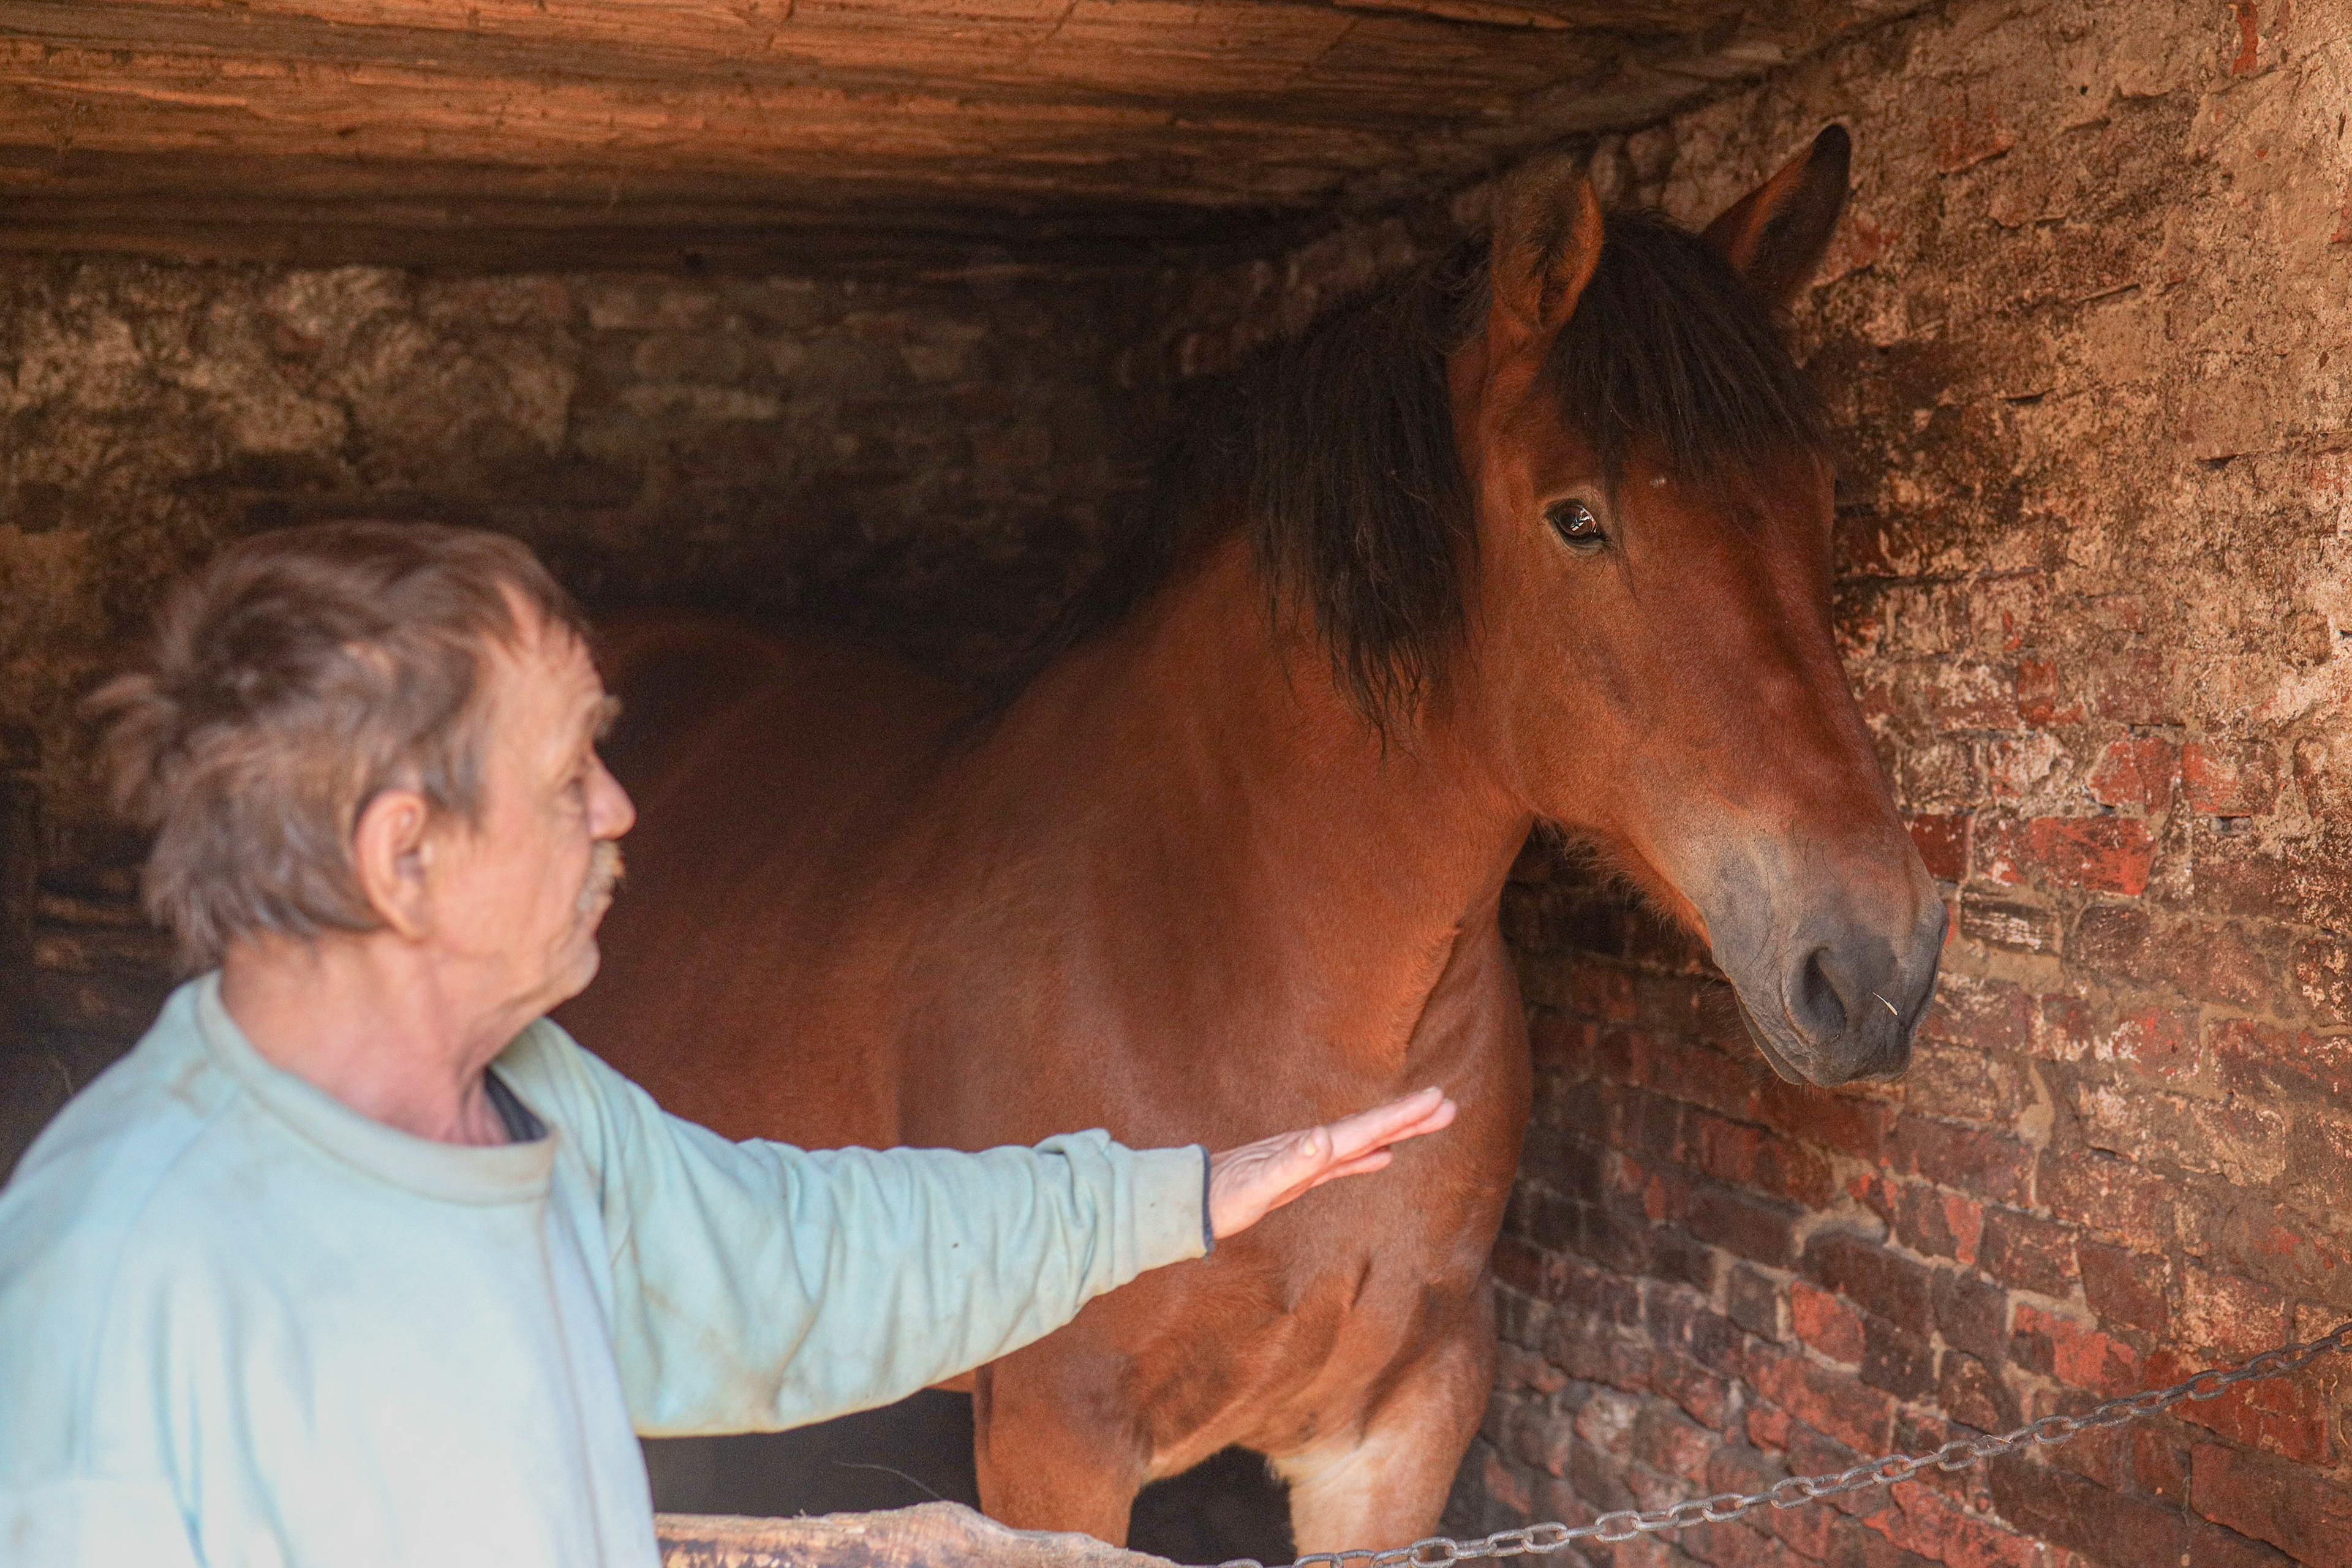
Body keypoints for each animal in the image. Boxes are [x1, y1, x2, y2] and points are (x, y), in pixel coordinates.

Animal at [561, 125, 1946, 1554]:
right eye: (1578, 517)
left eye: (1820, 497)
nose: (1874, 960)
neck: (1233, 955)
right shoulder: (1058, 1435)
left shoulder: (1398, 1429)